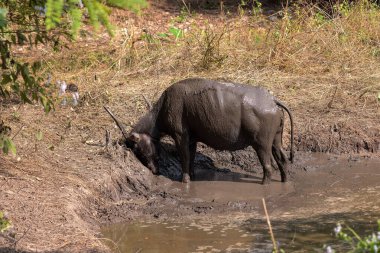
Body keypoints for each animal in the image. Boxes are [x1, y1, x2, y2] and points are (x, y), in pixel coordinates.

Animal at [104, 77, 294, 184]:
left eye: (137, 149)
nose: (154, 170)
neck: (165, 106)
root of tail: (272, 101)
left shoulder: (180, 136)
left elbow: (184, 158)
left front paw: (185, 180)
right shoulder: (193, 139)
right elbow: (192, 158)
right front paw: (192, 176)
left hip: (261, 144)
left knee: (268, 167)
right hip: (275, 141)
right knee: (283, 160)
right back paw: (285, 181)